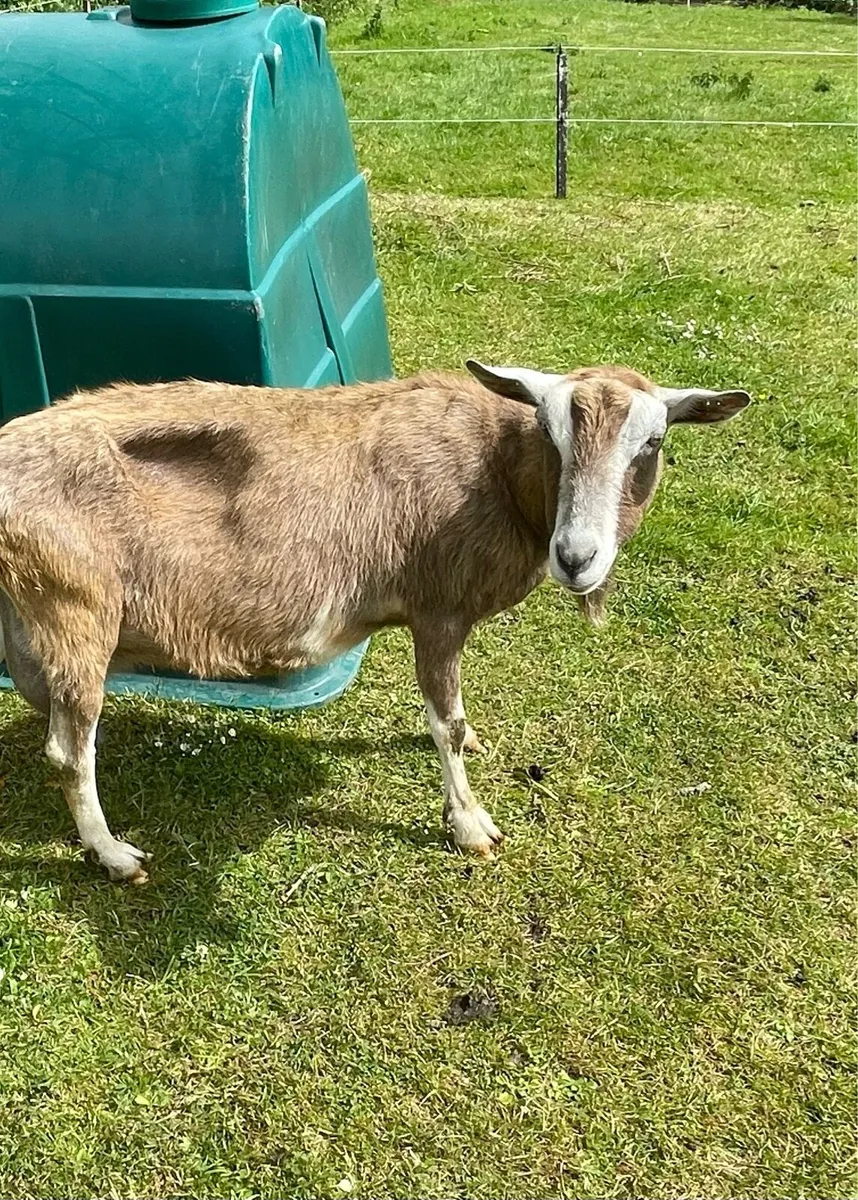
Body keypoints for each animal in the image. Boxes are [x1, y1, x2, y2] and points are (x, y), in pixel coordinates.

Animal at [0, 362, 750, 882]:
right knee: (69, 751)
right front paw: (470, 825)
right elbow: (444, 720)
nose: (577, 557)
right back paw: (113, 855)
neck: (494, 467)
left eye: (652, 443)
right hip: (76, 610)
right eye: (549, 432)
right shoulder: (438, 610)